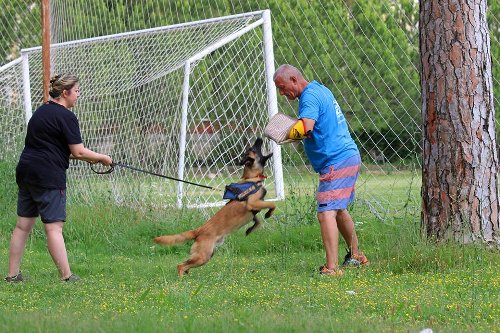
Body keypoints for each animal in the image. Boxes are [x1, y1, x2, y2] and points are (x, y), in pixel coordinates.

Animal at [153, 136, 276, 276]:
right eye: (253, 149)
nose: (259, 138)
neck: (251, 178)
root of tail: (199, 230)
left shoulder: (254, 210)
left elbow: (258, 221)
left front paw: (250, 229)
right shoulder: (253, 203)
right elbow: (272, 204)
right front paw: (269, 213)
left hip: (206, 255)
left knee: (185, 265)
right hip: (203, 256)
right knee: (180, 265)